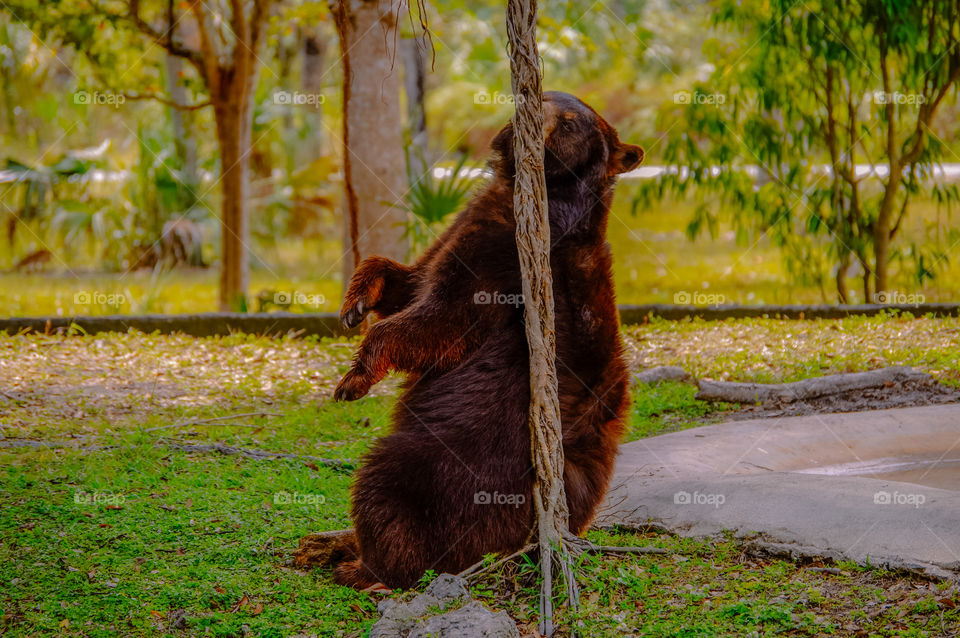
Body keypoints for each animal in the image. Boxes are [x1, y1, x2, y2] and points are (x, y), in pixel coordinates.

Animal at [331, 91, 644, 590]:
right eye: (547, 95)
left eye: (569, 121)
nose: (523, 114)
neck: (527, 191)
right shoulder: (465, 227)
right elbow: (409, 279)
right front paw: (355, 303)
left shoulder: (506, 258)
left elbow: (443, 319)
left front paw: (353, 379)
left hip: (458, 465)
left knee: (386, 483)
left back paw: (362, 565)